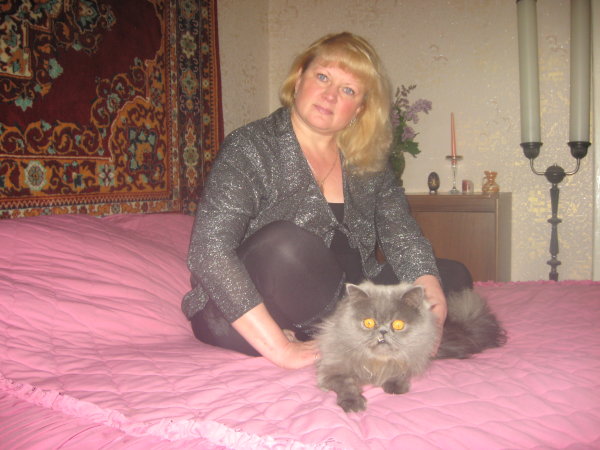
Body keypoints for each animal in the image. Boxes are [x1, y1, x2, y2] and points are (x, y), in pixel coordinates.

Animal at [314, 281, 506, 412]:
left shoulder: (413, 356)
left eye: (398, 324)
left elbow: (400, 370)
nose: (383, 331)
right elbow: (346, 383)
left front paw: (395, 386)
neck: (378, 362)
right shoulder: (332, 371)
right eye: (369, 323)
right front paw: (353, 403)